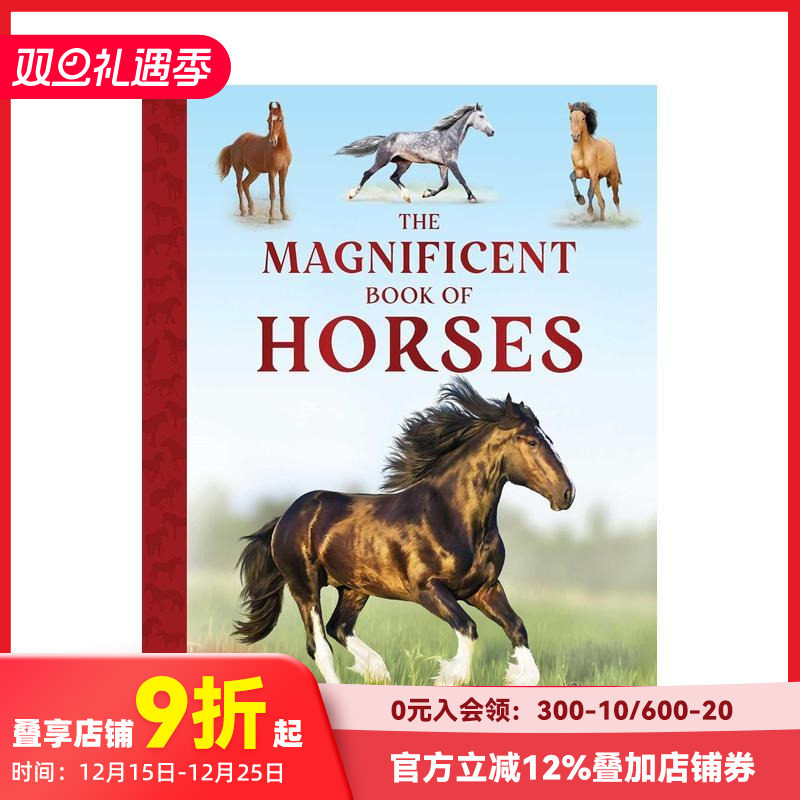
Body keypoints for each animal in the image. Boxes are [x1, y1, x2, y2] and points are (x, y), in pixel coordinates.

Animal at [235, 378, 574, 687]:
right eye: (532, 442)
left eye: (549, 439)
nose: (567, 493)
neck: (454, 518)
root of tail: (285, 516)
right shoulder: (428, 588)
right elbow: (467, 629)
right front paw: (448, 677)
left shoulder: (485, 588)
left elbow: (517, 628)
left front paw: (516, 678)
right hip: (304, 585)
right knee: (319, 646)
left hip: (355, 588)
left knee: (338, 627)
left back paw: (377, 670)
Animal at [336, 103, 495, 204]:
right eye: (481, 116)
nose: (492, 132)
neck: (449, 137)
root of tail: (385, 138)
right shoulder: (451, 163)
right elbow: (461, 179)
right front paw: (472, 198)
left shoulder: (443, 165)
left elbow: (445, 184)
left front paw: (426, 193)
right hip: (383, 160)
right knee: (368, 173)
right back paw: (352, 194)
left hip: (404, 163)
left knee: (394, 177)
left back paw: (407, 197)